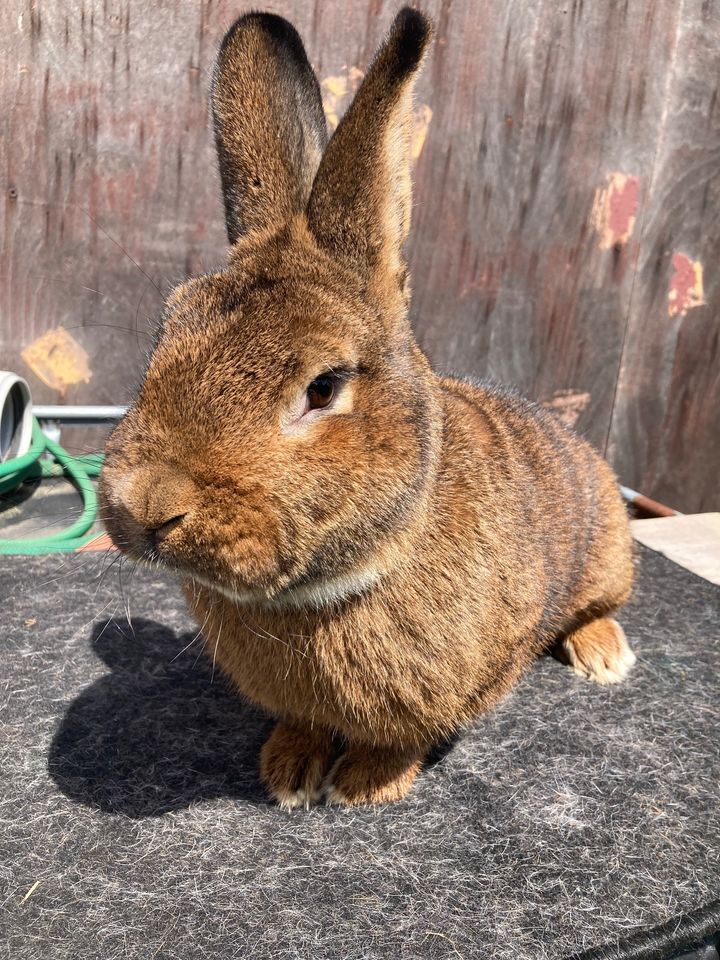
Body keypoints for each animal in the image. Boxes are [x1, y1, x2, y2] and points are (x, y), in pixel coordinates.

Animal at [98, 7, 632, 808]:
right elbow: (305, 723)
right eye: (167, 329)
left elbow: (404, 738)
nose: (143, 506)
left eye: (323, 387)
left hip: (606, 556)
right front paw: (289, 772)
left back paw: (604, 655)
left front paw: (364, 786)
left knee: (603, 602)